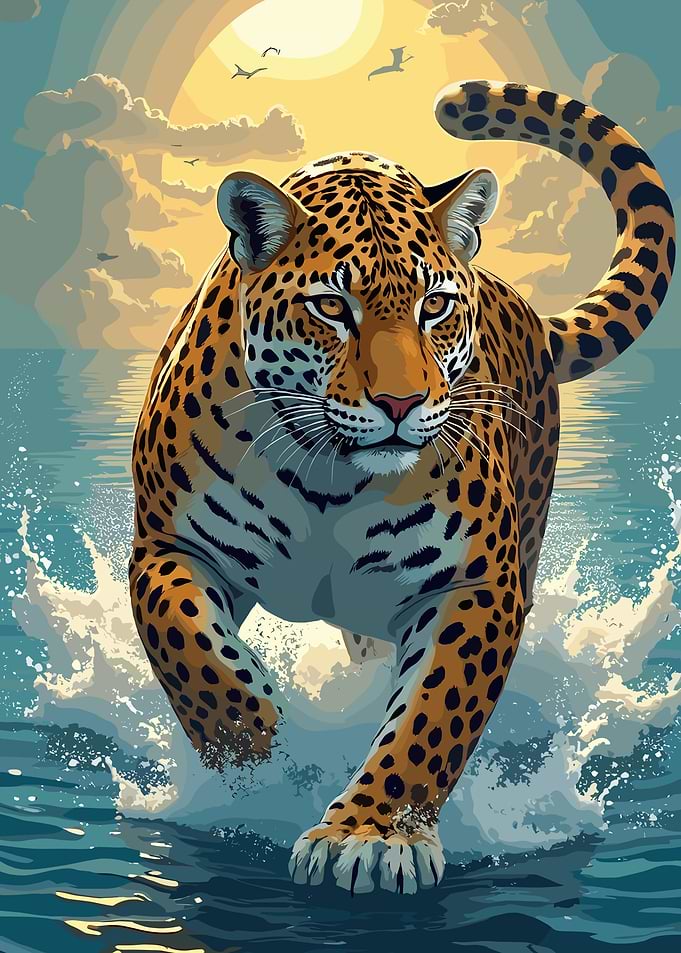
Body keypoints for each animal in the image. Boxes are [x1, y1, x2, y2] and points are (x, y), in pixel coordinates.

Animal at [129, 80, 675, 894]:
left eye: (434, 306)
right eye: (332, 307)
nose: (400, 403)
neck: (326, 473)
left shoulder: (477, 584)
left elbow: (430, 717)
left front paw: (370, 835)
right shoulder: (166, 547)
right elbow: (197, 659)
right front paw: (261, 767)